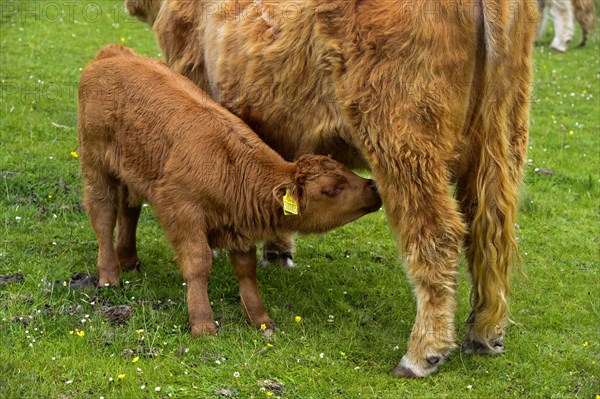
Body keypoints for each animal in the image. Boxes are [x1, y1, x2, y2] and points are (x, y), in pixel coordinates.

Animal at [77, 43, 382, 338]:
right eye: (332, 189)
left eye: (346, 171)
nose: (374, 187)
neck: (230, 165)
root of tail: (114, 53)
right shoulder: (182, 212)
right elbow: (198, 265)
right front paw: (202, 323)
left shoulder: (240, 226)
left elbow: (247, 271)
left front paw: (260, 319)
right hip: (96, 166)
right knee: (103, 216)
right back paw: (109, 276)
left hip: (132, 170)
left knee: (129, 210)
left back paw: (129, 260)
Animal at [124, 0, 536, 378]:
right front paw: (277, 251)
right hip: (501, 140)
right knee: (490, 231)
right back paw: (484, 333)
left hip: (404, 141)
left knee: (438, 234)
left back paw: (423, 352)